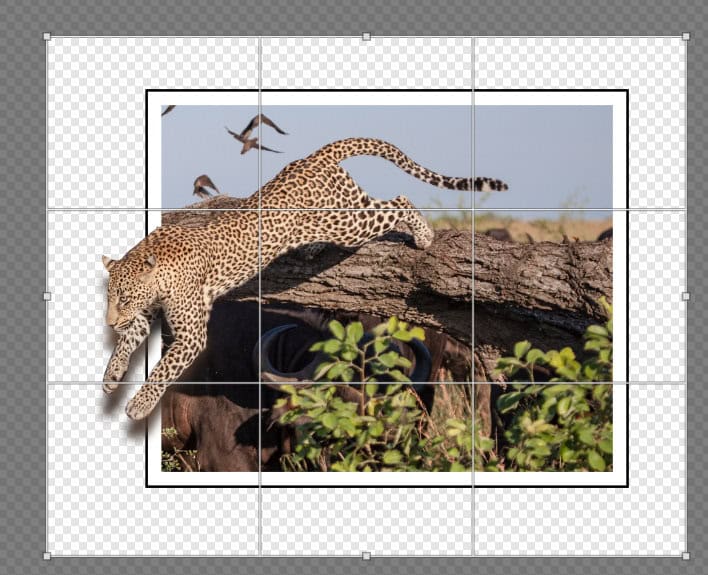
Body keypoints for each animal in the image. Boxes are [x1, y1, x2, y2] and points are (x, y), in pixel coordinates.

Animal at [102, 137, 508, 419]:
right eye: (111, 298)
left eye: (124, 297)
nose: (108, 323)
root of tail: (315, 156)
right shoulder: (147, 313)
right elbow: (128, 341)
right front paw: (112, 375)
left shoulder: (190, 333)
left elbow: (163, 369)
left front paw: (138, 406)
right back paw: (313, 248)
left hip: (347, 222)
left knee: (398, 201)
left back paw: (423, 235)